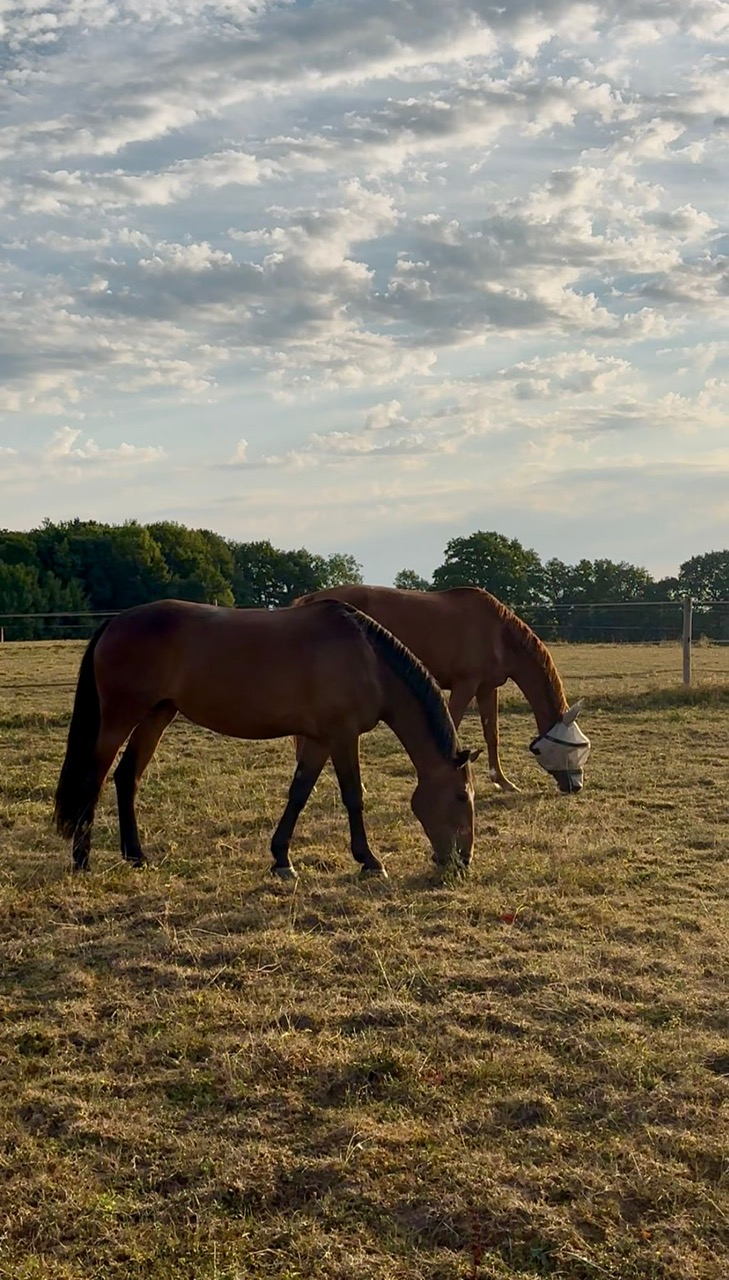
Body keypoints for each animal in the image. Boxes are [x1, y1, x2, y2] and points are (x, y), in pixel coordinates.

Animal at [54, 598, 479, 879]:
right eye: (462, 797)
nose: (463, 860)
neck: (369, 660)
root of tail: (115, 622)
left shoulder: (319, 740)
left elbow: (299, 793)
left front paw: (281, 859)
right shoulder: (342, 736)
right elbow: (353, 796)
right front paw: (369, 860)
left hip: (157, 714)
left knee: (127, 777)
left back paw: (136, 855)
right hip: (120, 718)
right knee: (94, 779)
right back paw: (82, 859)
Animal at [293, 585, 590, 793]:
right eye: (573, 747)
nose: (575, 786)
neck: (497, 632)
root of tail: (308, 600)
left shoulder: (486, 688)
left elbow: (491, 733)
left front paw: (502, 781)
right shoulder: (465, 684)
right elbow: (453, 723)